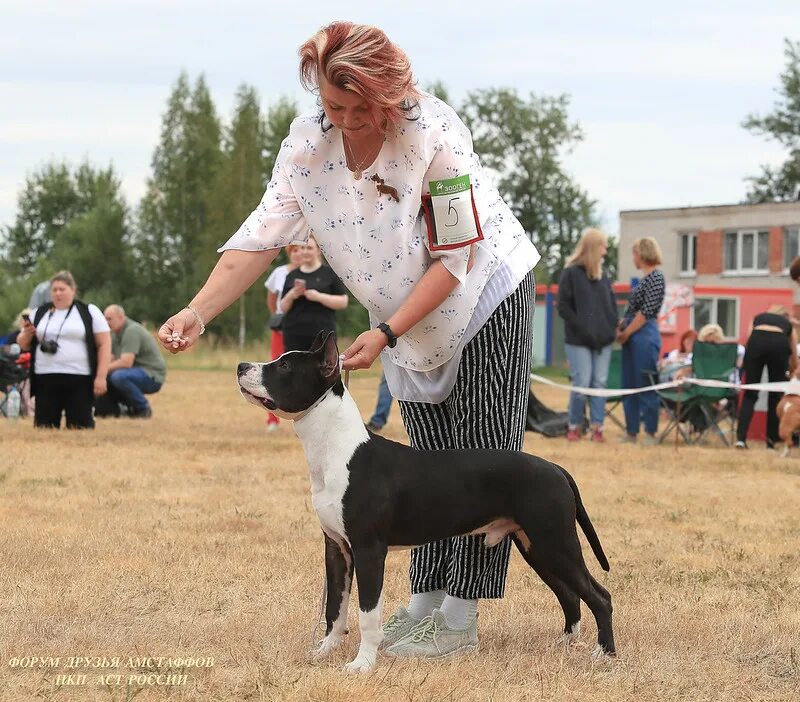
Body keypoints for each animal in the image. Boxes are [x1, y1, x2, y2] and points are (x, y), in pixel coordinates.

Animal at [236, 332, 612, 672]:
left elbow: (367, 614)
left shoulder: (369, 550)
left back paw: (604, 655)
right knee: (570, 595)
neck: (336, 448)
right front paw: (324, 652)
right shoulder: (337, 548)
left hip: (556, 543)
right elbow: (335, 608)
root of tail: (555, 468)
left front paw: (362, 664)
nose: (241, 366)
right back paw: (566, 644)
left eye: (284, 366)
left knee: (599, 596)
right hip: (535, 546)